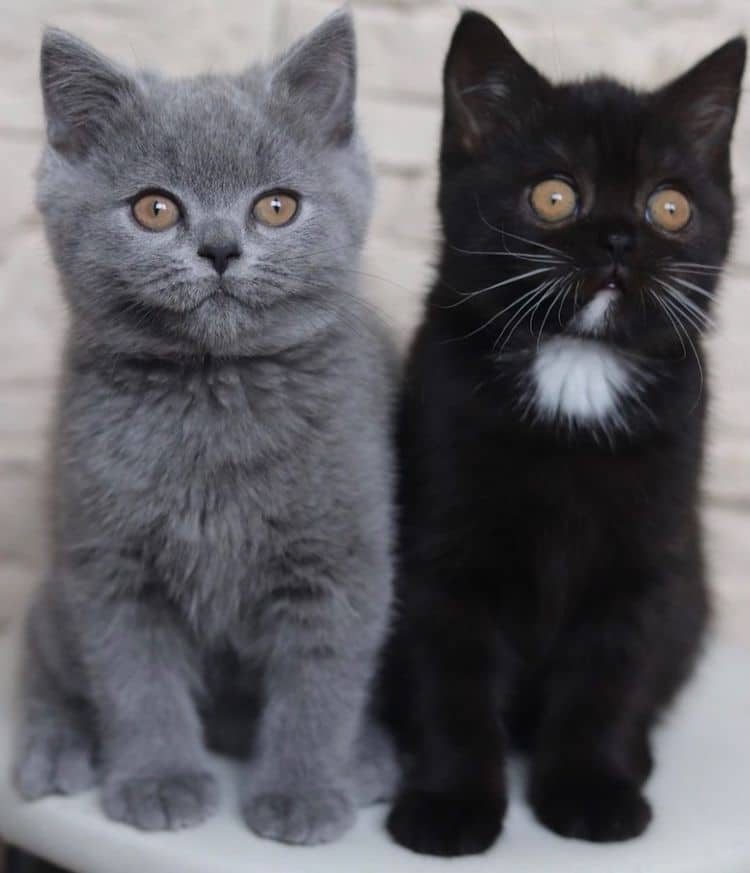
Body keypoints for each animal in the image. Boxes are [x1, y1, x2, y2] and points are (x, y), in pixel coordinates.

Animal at [13, 10, 400, 844]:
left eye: (276, 206)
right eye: (155, 208)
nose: (220, 247)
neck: (215, 395)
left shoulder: (338, 561)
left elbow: (321, 685)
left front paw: (302, 790)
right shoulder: (108, 563)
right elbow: (136, 680)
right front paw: (159, 779)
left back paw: (366, 759)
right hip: (56, 586)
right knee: (39, 646)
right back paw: (54, 744)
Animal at [384, 11, 748, 860]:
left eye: (669, 207)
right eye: (554, 196)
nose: (617, 239)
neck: (576, 366)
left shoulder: (646, 556)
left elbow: (608, 677)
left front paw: (592, 790)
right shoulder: (442, 545)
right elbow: (452, 678)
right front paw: (450, 803)